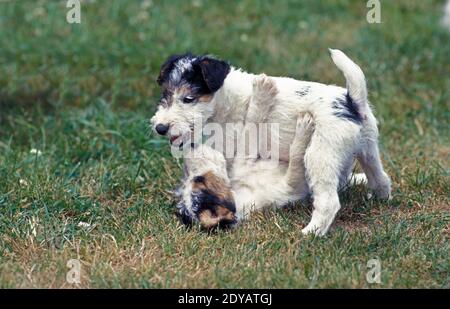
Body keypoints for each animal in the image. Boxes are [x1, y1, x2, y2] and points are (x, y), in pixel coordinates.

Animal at [151, 49, 390, 235]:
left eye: (188, 99)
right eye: (166, 96)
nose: (160, 127)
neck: (227, 100)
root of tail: (353, 103)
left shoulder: (235, 144)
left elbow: (251, 122)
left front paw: (262, 93)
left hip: (319, 155)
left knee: (328, 202)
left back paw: (310, 232)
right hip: (368, 148)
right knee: (381, 178)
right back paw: (380, 198)